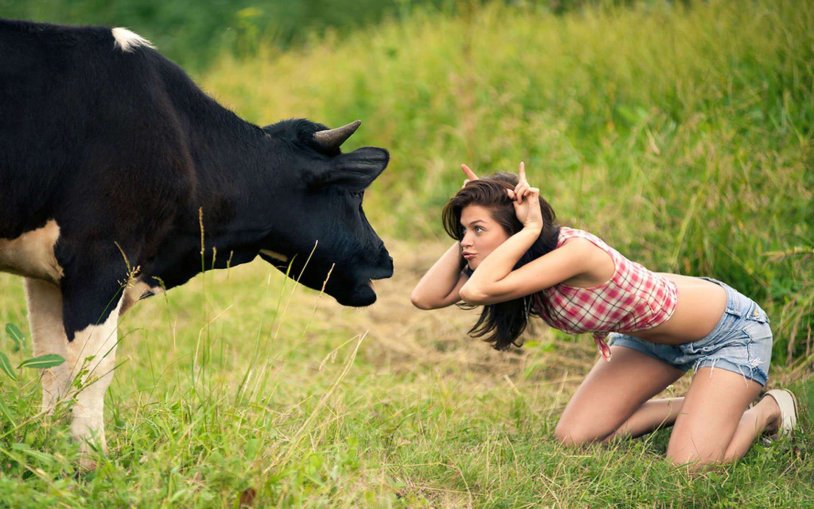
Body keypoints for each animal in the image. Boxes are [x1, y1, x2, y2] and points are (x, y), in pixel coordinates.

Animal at [0, 19, 393, 465]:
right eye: (355, 194)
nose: (386, 259)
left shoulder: (46, 274)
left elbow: (52, 365)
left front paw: (50, 450)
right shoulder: (98, 259)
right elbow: (93, 368)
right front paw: (90, 461)